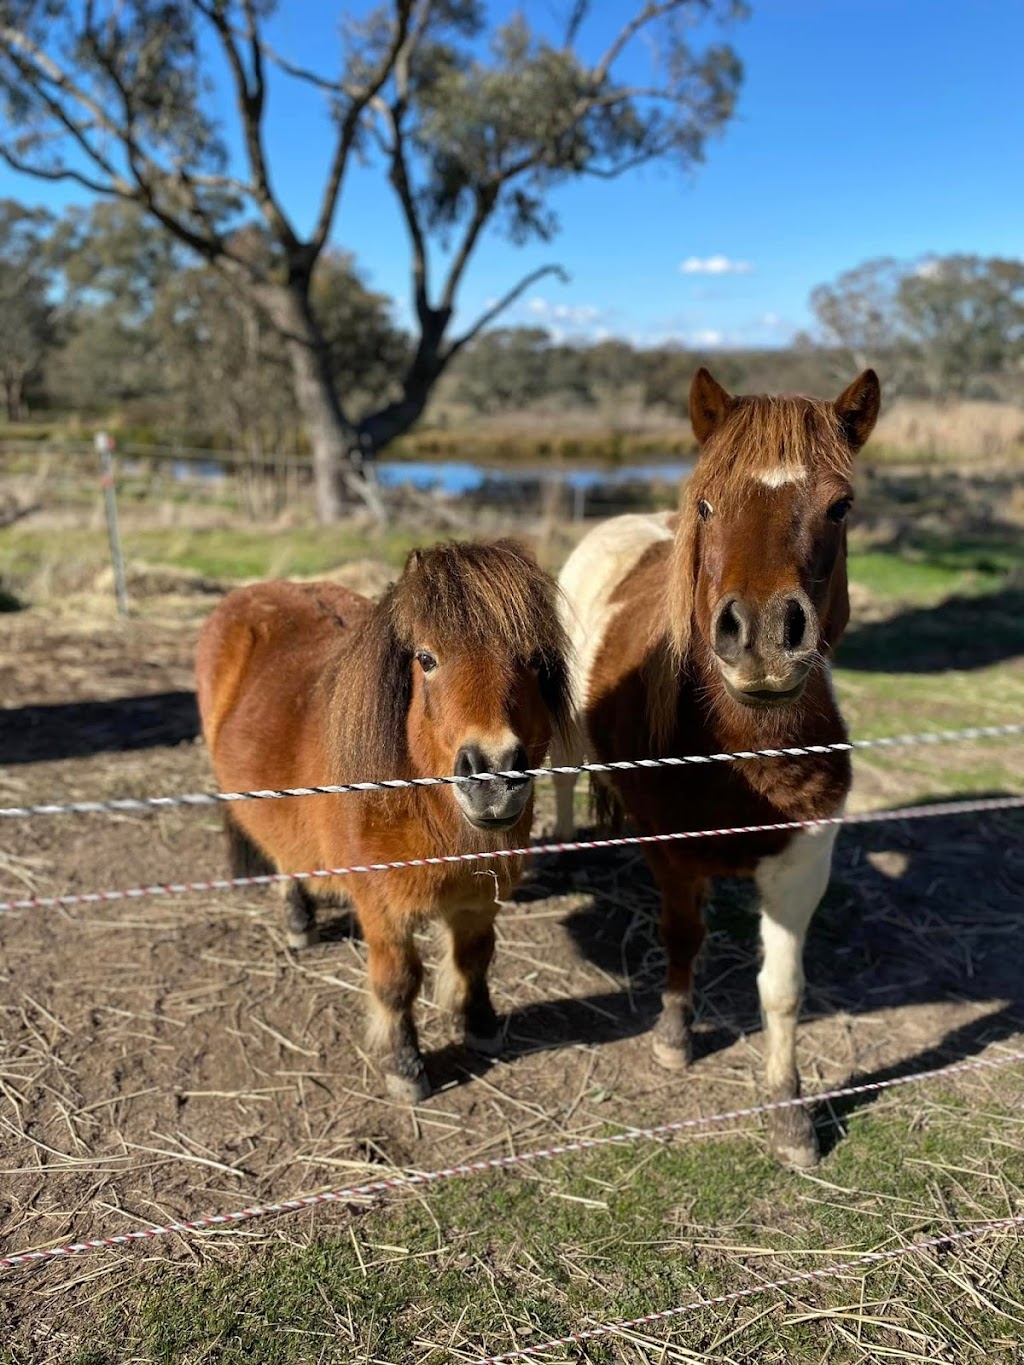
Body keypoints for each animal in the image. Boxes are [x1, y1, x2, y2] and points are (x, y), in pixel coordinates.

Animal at [196, 537, 573, 1102]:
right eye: (426, 659)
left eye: (533, 659)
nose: (494, 775)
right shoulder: (383, 912)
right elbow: (398, 983)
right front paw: (406, 1066)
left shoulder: (479, 899)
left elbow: (476, 958)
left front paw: (481, 1026)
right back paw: (299, 922)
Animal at [554, 371, 884, 1162]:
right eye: (707, 503)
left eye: (840, 506)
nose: (762, 636)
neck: (742, 752)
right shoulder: (674, 856)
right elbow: (683, 939)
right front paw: (674, 1037)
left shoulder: (802, 864)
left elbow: (782, 989)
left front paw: (790, 1111)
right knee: (563, 778)